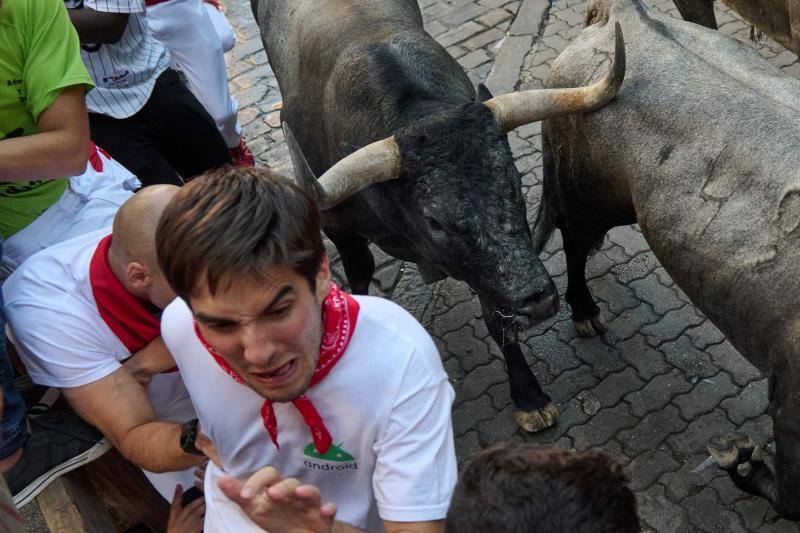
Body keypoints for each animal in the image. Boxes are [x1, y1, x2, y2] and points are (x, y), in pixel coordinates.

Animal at [250, 0, 624, 430]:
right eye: (434, 220)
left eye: (514, 181)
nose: (538, 301)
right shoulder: (338, 226)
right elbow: (359, 272)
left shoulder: (488, 269)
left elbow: (496, 313)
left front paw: (529, 396)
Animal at [536, 0, 800, 516]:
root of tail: (627, 18)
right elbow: (786, 496)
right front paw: (740, 461)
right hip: (583, 194)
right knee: (573, 244)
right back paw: (584, 311)